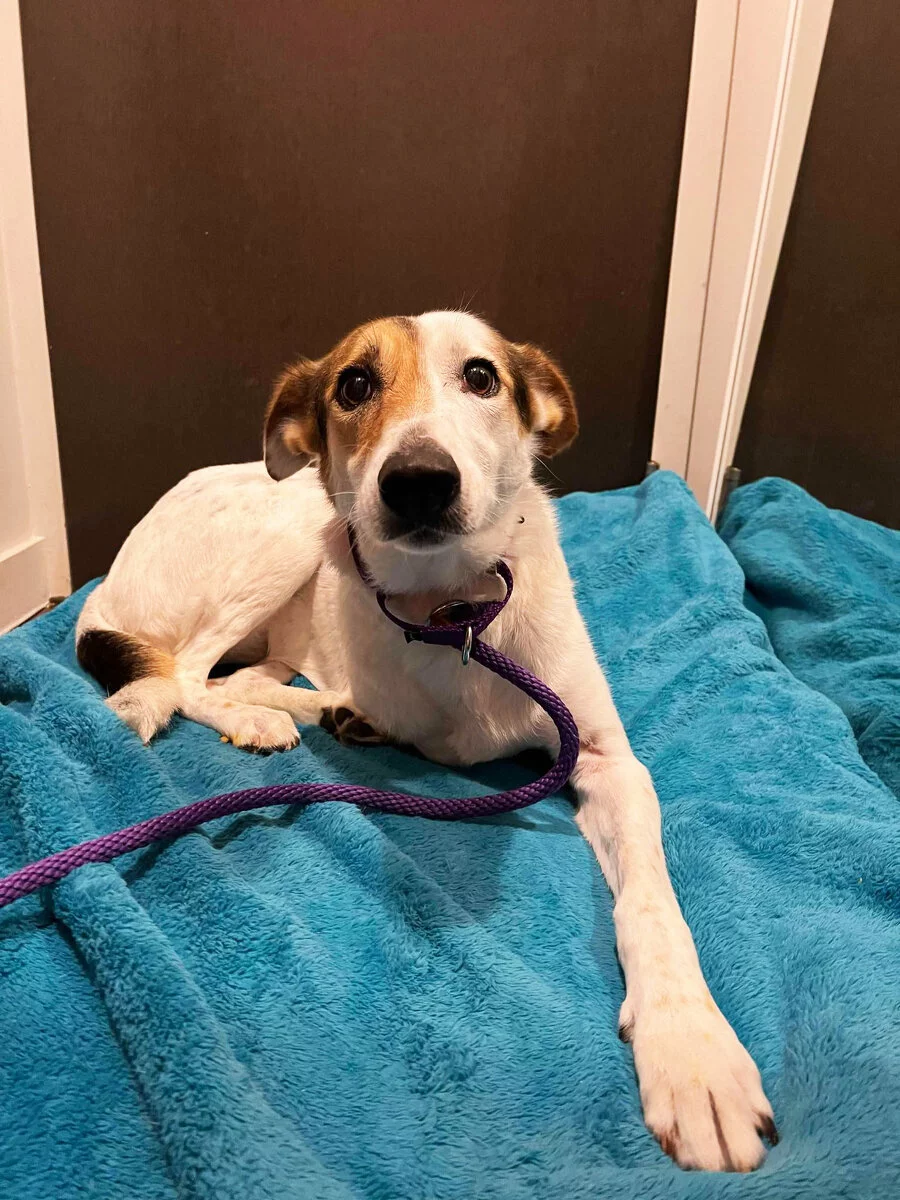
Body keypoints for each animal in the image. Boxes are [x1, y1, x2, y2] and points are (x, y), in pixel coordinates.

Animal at [75, 309, 777, 1171]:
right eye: (353, 385)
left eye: (480, 375)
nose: (417, 480)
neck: (453, 611)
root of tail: (103, 588)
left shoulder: (606, 759)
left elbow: (652, 900)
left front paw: (692, 1051)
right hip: (291, 527)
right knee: (191, 676)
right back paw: (280, 716)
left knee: (238, 673)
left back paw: (321, 707)